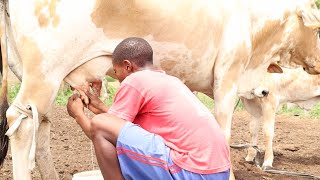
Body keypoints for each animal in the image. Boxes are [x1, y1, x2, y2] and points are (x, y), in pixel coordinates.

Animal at [0, 0, 320, 180]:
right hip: (44, 71)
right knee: (22, 124)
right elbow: (224, 131)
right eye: (317, 28)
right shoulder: (227, 78)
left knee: (41, 125)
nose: (317, 63)